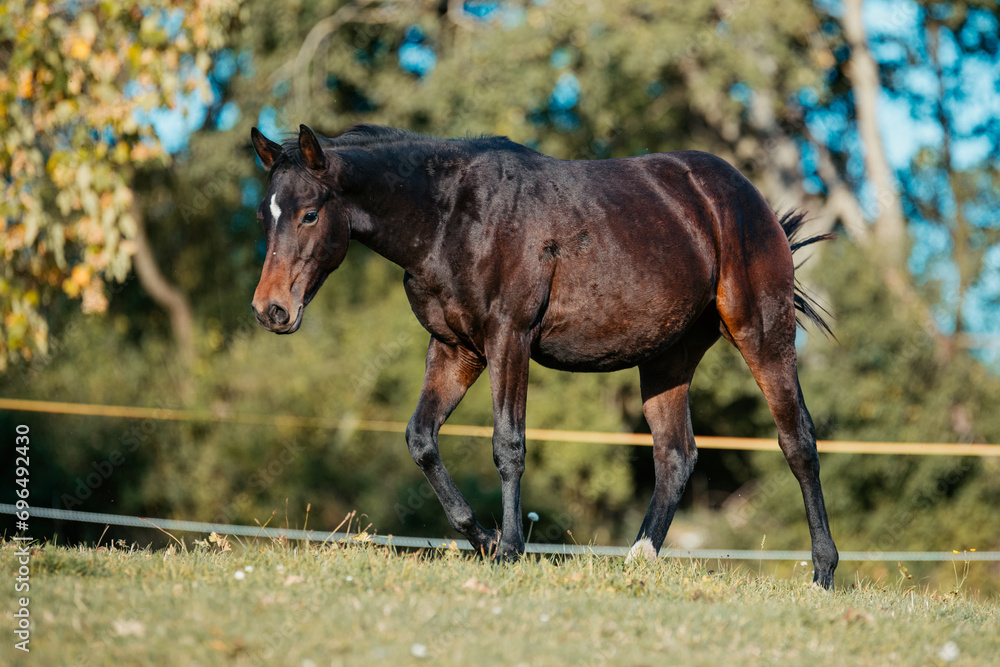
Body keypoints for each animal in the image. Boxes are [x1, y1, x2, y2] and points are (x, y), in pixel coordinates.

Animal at [249, 123, 839, 588]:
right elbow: (421, 439)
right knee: (676, 455)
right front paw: (484, 539)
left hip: (762, 334)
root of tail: (747, 199)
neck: (452, 216)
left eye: (308, 214)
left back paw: (823, 572)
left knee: (797, 441)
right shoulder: (455, 351)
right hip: (666, 358)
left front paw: (509, 549)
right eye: (263, 216)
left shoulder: (508, 339)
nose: (270, 310)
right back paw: (636, 561)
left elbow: (508, 445)